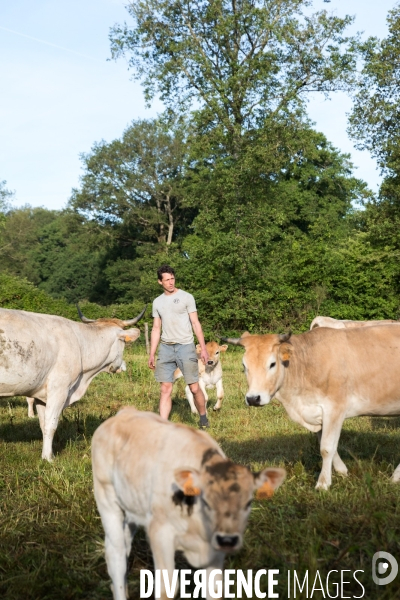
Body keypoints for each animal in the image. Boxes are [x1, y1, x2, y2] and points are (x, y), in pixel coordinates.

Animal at [0, 304, 144, 460]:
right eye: (123, 342)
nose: (123, 367)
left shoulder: (40, 394)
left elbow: (43, 424)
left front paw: (46, 454)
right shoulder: (59, 389)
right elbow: (51, 425)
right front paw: (48, 458)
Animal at [91, 408, 284, 600]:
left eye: (249, 502)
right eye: (206, 501)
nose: (228, 540)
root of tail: (124, 412)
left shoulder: (215, 551)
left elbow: (214, 590)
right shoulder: (159, 533)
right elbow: (166, 589)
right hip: (106, 499)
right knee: (116, 555)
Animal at [220, 326, 400, 490]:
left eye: (272, 364)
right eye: (244, 365)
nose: (253, 398)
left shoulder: (334, 408)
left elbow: (326, 448)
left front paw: (323, 484)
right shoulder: (317, 413)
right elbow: (327, 444)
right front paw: (342, 471)